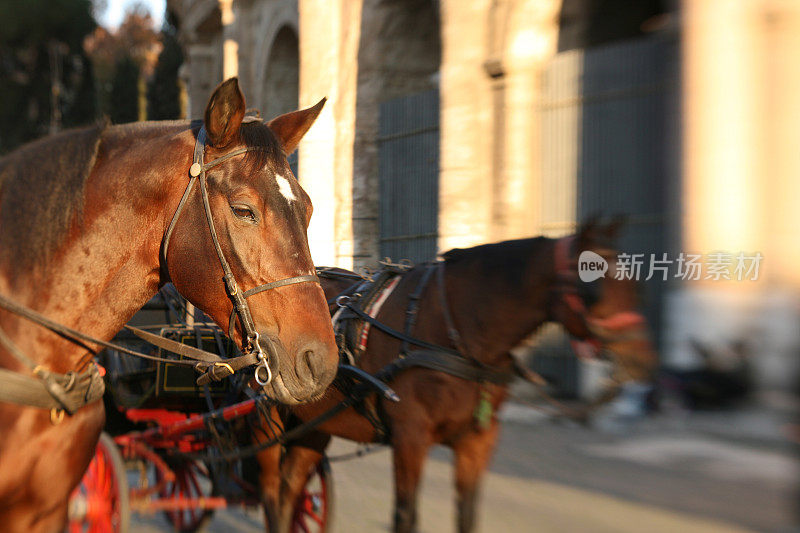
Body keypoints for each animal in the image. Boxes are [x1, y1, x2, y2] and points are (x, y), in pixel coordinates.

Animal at [255, 218, 656, 528]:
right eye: (594, 287)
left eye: (635, 281)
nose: (642, 360)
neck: (457, 331)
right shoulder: (411, 438)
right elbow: (406, 516)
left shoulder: (477, 441)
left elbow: (466, 515)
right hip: (267, 423)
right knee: (272, 493)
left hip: (315, 423)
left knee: (291, 489)